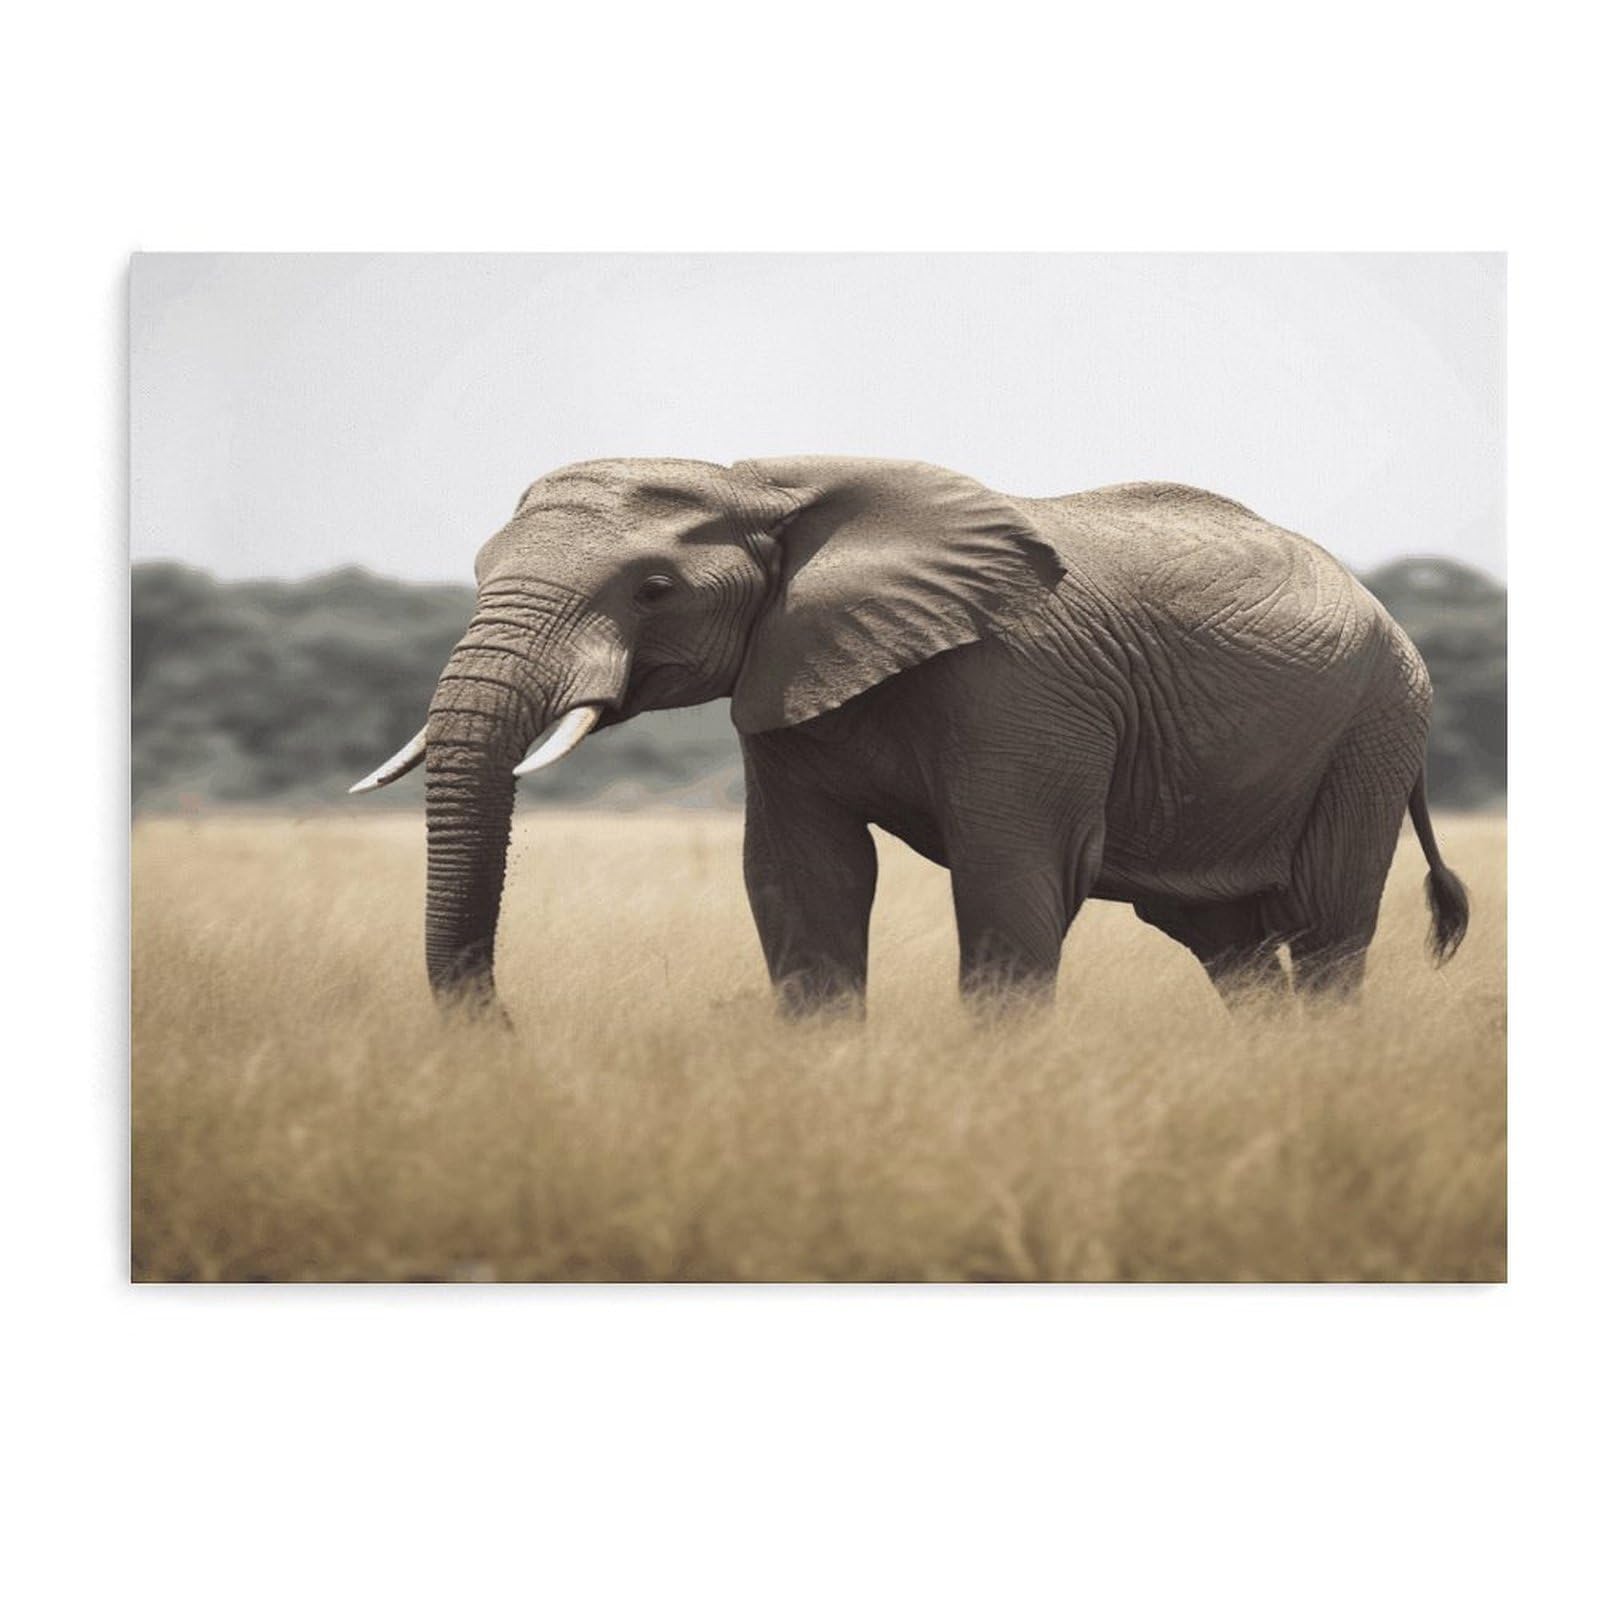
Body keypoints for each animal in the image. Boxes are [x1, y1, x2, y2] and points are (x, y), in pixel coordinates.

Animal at [352, 455, 1468, 1018]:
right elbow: (804, 884)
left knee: (1325, 932)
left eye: (653, 589)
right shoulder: (783, 673)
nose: (504, 1030)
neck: (762, 482)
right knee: (1228, 947)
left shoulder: (1024, 685)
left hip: (1373, 729)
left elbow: (1011, 883)